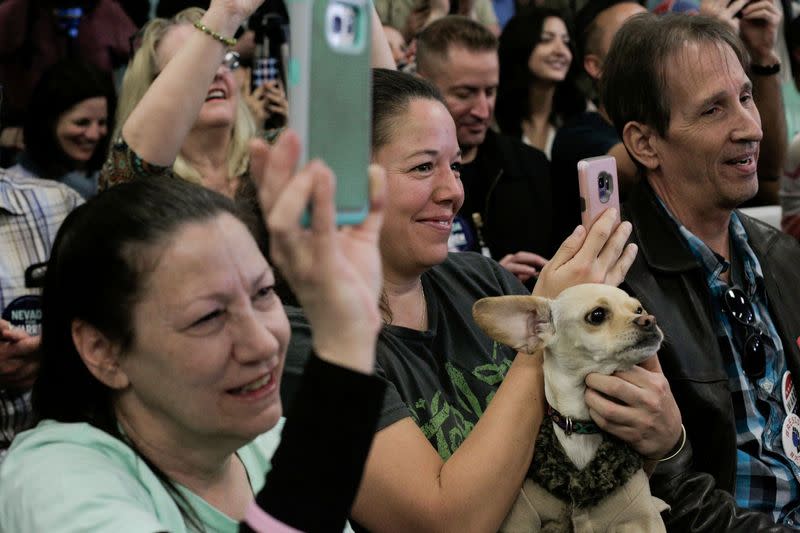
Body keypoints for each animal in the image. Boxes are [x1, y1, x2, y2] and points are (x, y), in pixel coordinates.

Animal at [476, 284, 668, 528]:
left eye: (639, 309)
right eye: (597, 315)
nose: (649, 319)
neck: (581, 427)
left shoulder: (639, 517)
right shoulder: (523, 517)